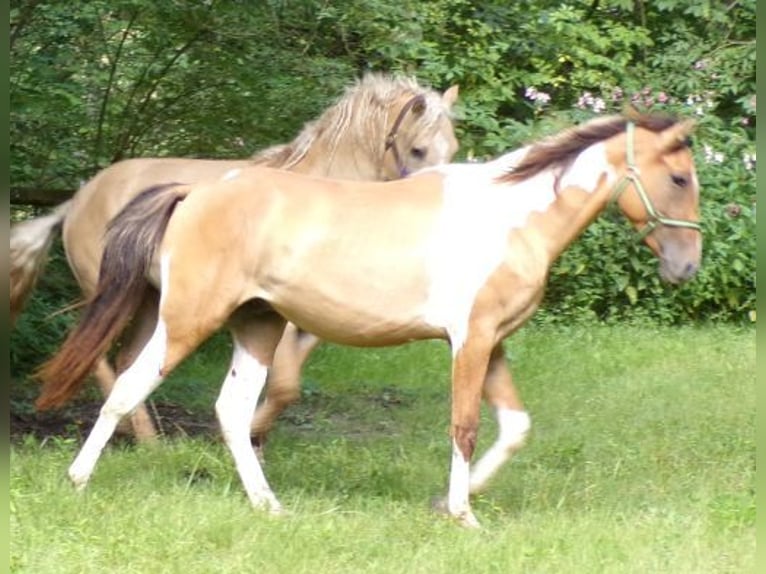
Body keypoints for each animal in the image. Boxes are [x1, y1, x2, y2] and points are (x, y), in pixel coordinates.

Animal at [11, 73, 459, 442]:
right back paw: (141, 436)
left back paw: (146, 436)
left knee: (127, 359)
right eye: (418, 149)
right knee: (98, 357)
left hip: (151, 301)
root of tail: (77, 199)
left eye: (452, 146)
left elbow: (287, 386)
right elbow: (283, 385)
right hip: (112, 292)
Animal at [35, 112, 701, 528]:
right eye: (678, 177)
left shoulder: (494, 343)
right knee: (128, 386)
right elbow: (465, 427)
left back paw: (269, 506)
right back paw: (77, 481)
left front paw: (448, 502)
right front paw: (464, 515)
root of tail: (193, 193)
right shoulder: (470, 341)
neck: (511, 215)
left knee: (231, 411)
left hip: (257, 325)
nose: (687, 266)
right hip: (187, 319)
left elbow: (514, 427)